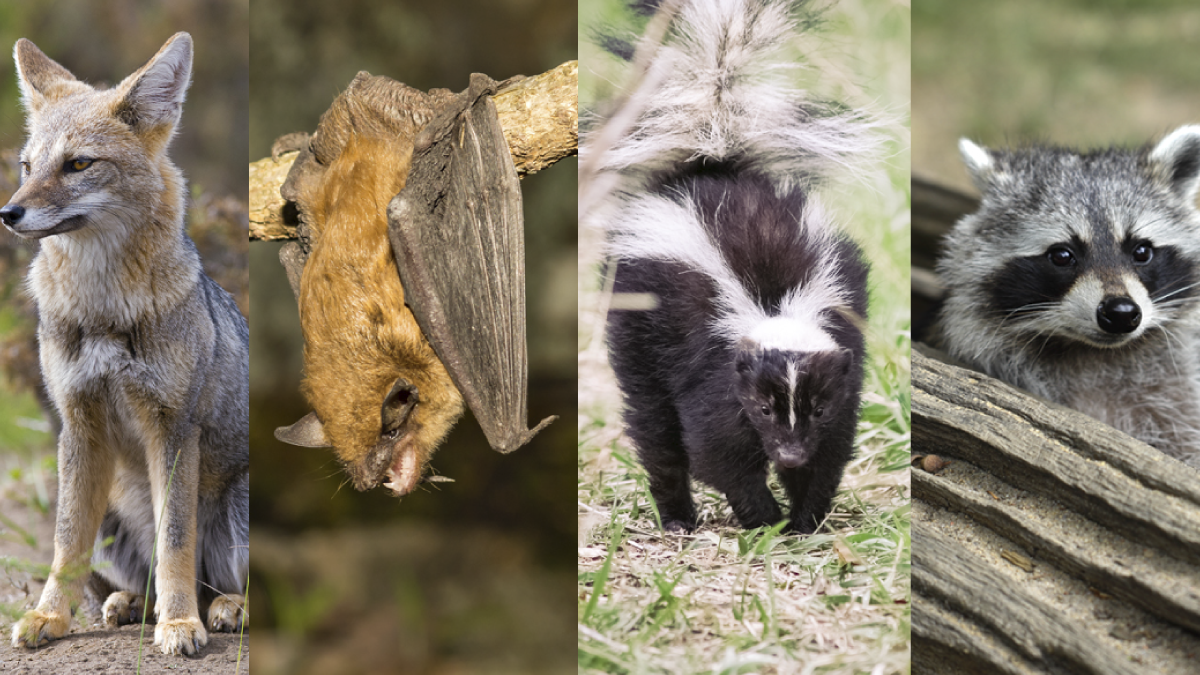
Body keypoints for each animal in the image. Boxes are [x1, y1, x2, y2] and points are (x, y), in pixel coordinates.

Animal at [0, 33, 249, 655]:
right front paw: (50, 616)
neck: (104, 308)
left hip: (236, 510)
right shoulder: (78, 421)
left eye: (78, 164)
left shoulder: (173, 426)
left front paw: (180, 624)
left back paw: (221, 607)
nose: (7, 213)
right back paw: (136, 603)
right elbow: (66, 541)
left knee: (219, 580)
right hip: (111, 506)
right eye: (26, 166)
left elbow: (176, 539)